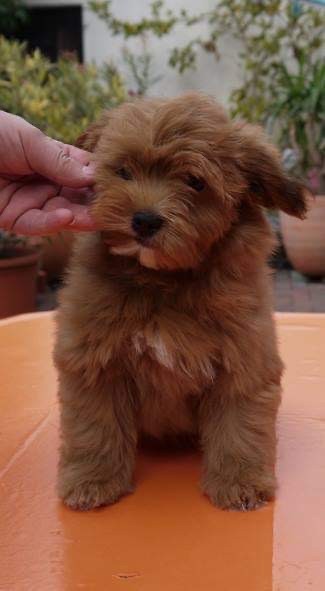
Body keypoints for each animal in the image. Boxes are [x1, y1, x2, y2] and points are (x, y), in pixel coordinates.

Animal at [53, 93, 306, 512]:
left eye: (195, 182)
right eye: (125, 171)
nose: (144, 220)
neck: (163, 279)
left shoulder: (244, 359)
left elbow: (240, 424)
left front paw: (240, 481)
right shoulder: (94, 360)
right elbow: (95, 425)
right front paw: (93, 480)